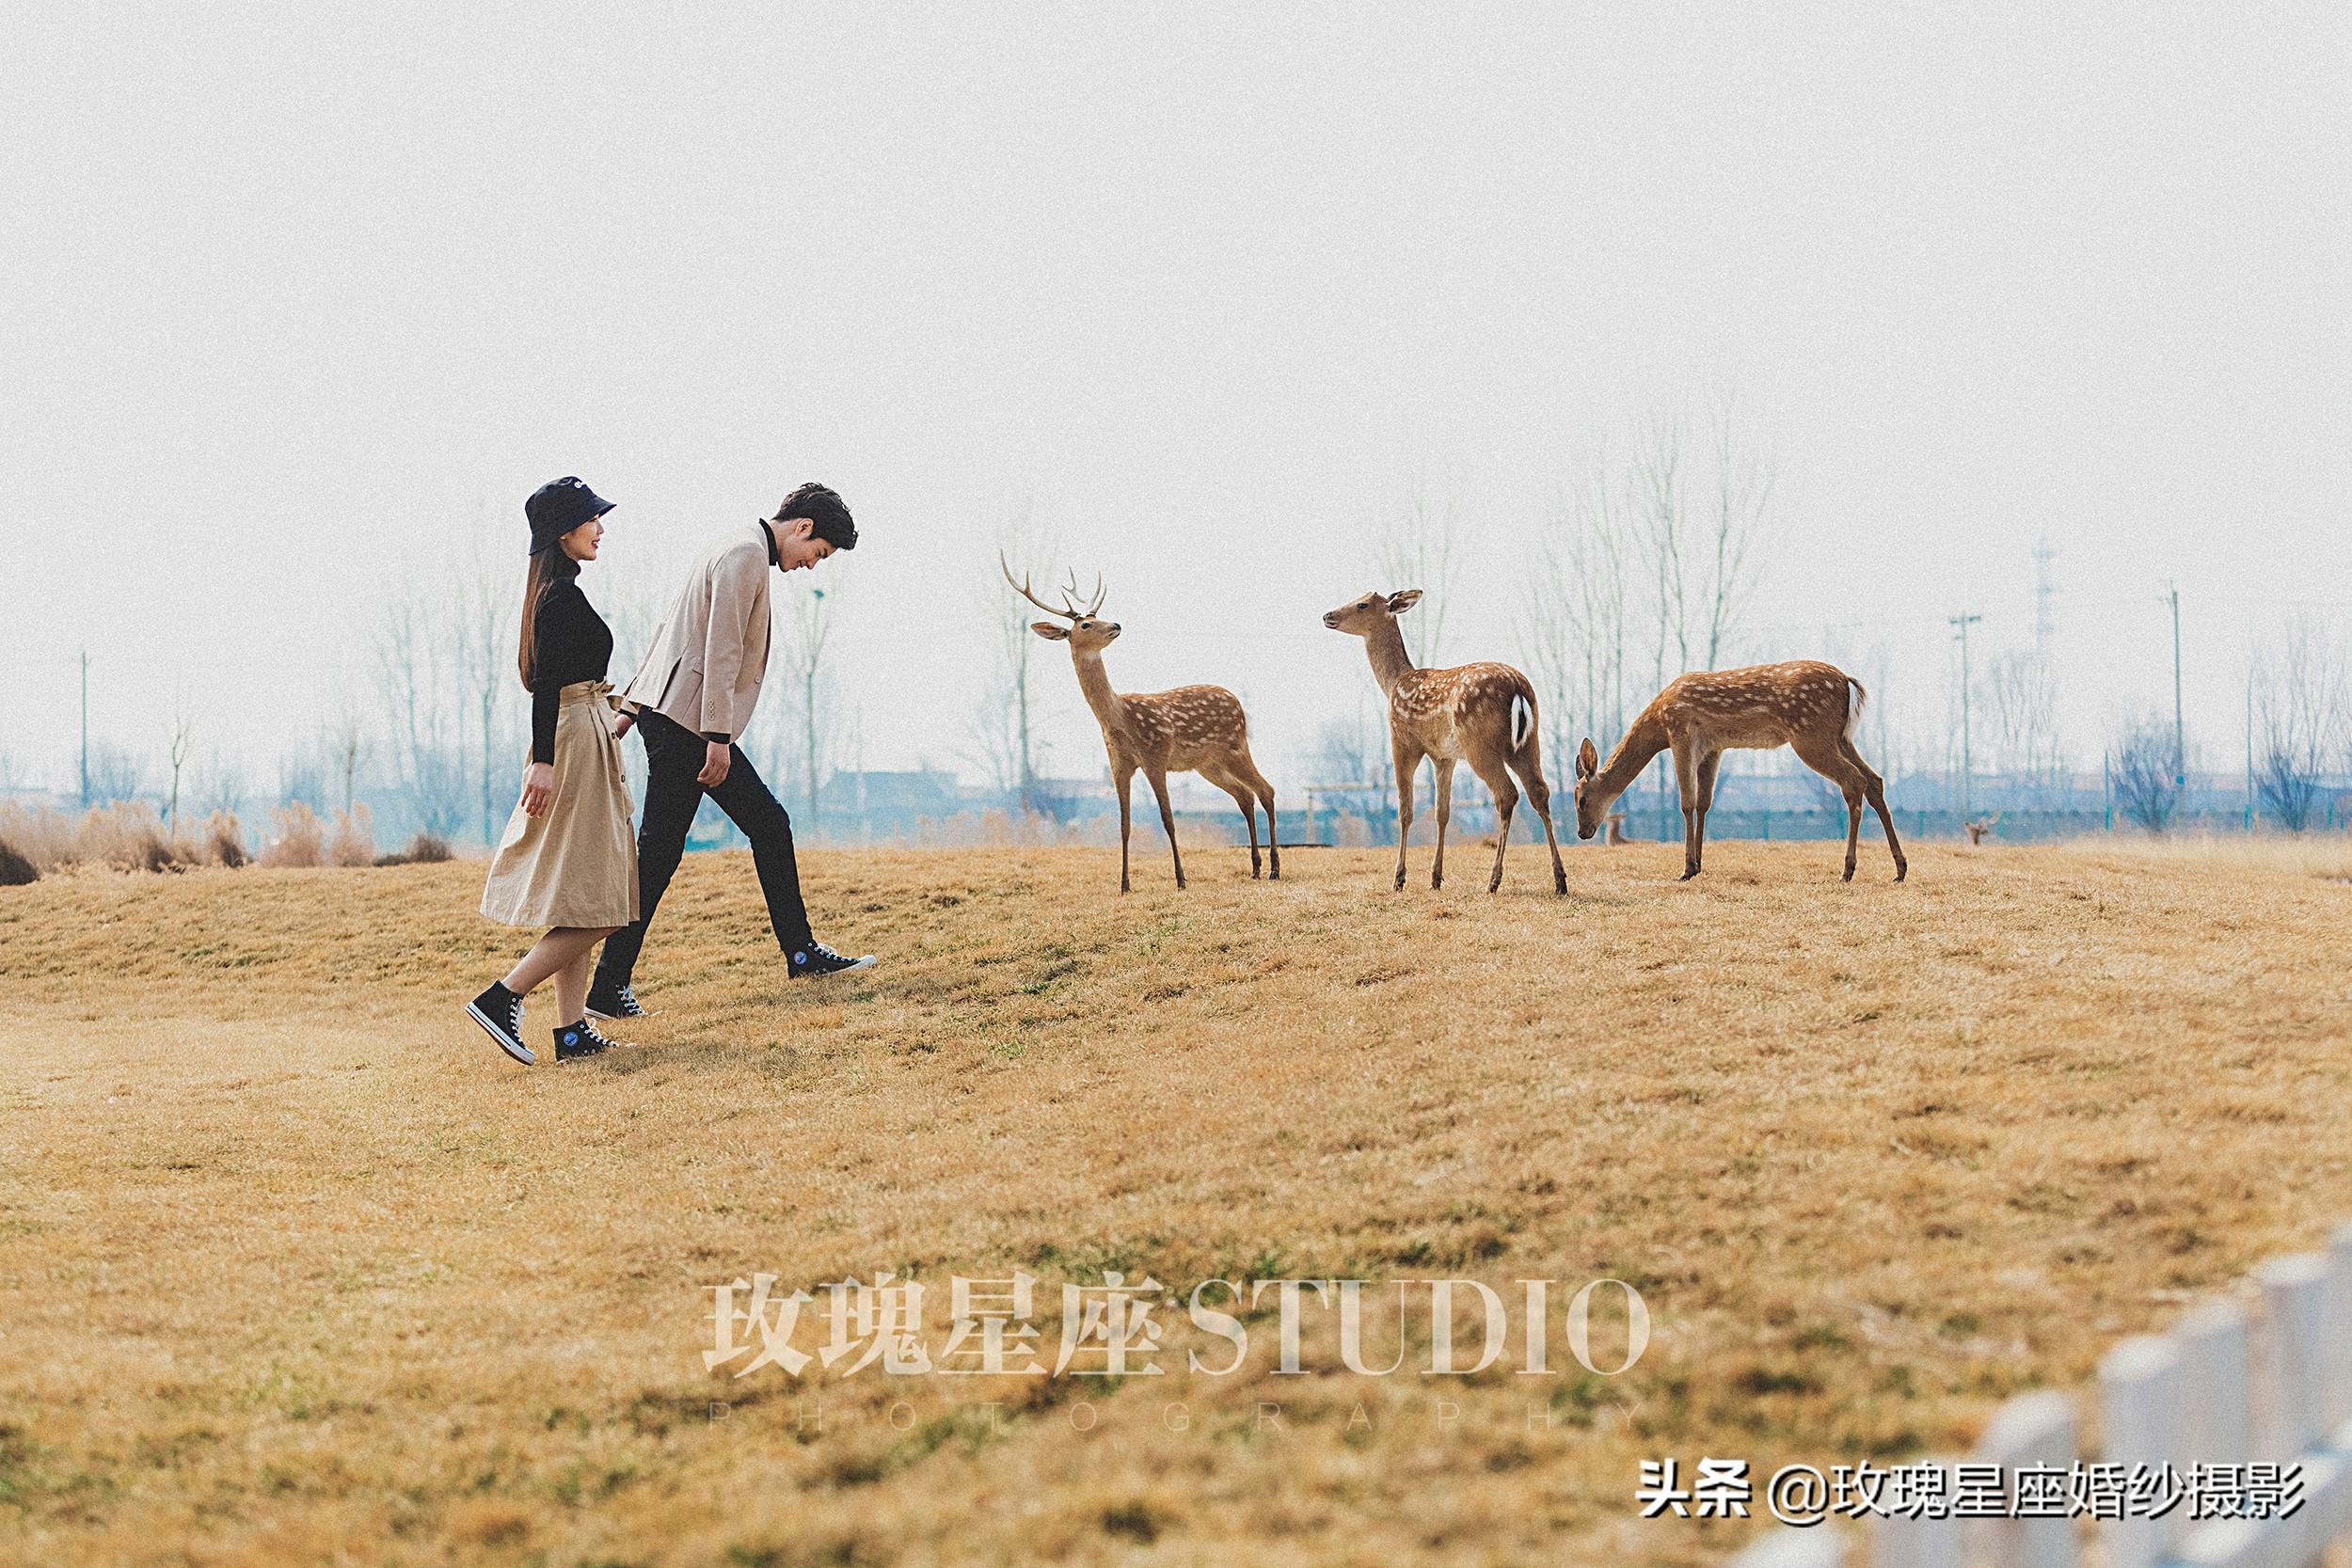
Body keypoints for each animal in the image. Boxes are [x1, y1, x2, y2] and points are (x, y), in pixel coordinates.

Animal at [1002, 557, 1279, 888]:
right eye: (1085, 624)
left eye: (1098, 615)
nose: (1116, 625)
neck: (1120, 719)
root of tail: (1237, 701)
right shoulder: (1119, 765)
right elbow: (1124, 824)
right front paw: (1124, 885)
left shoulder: (1155, 756)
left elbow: (1168, 819)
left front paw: (1181, 879)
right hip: (1207, 763)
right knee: (1244, 795)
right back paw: (1256, 867)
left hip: (1234, 745)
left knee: (1266, 790)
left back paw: (1275, 869)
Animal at [1317, 592, 1571, 893]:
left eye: (1362, 604)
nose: (1327, 615)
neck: (1393, 684)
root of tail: (1518, 690)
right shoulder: (1443, 756)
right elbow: (1442, 812)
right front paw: (1435, 878)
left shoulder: (1403, 741)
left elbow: (1405, 811)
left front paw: (1399, 879)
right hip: (1528, 742)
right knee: (1539, 791)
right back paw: (1560, 880)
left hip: (1478, 744)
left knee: (1506, 793)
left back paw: (1493, 881)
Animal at [1571, 657, 1900, 883]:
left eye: (1581, 799)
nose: (1582, 833)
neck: (1658, 725)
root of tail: (1848, 682)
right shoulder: (1713, 747)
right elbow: (1704, 803)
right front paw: (1699, 864)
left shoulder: (1681, 733)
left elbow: (1686, 802)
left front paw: (1686, 868)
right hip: (1841, 737)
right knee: (1874, 779)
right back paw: (1900, 868)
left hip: (1810, 734)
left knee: (1853, 780)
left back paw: (1847, 871)